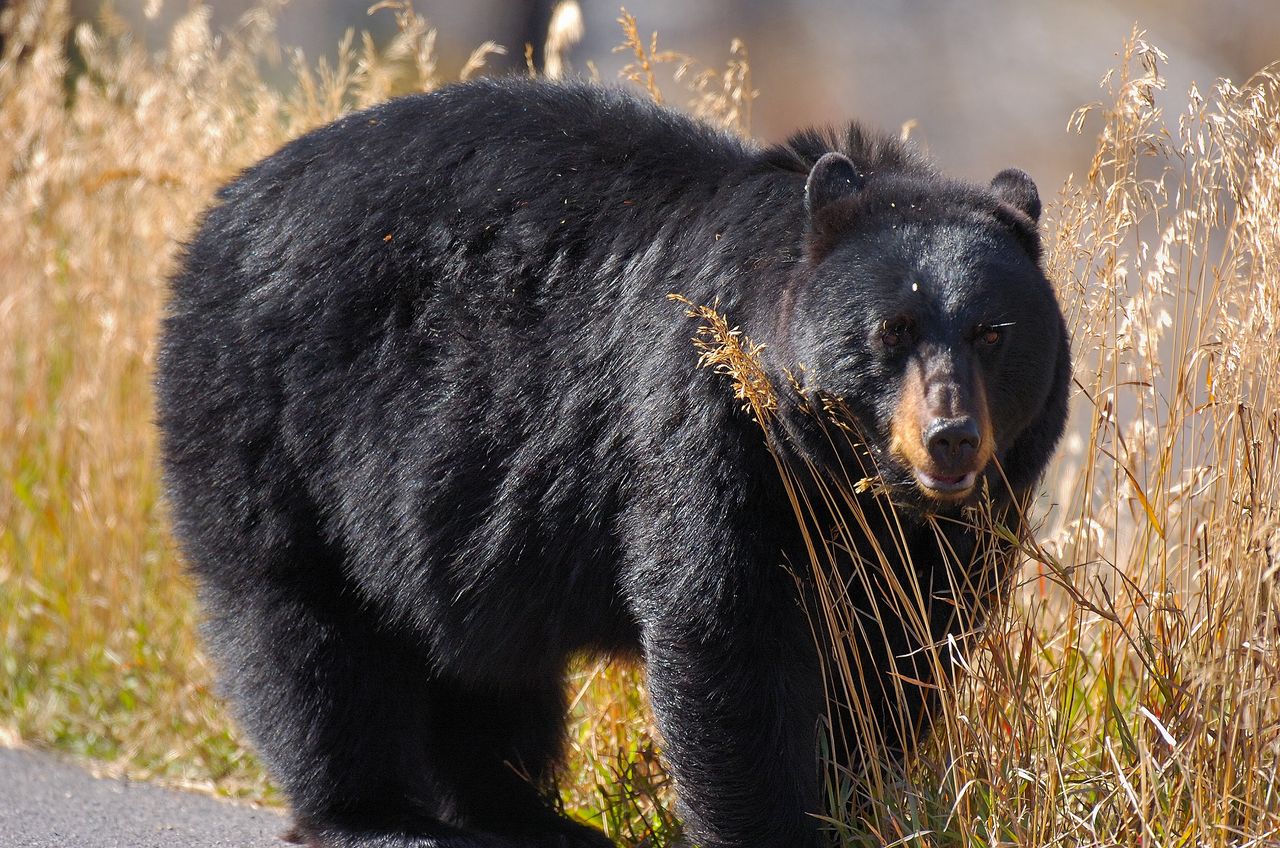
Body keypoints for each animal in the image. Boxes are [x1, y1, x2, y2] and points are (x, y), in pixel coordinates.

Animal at [152, 76, 1070, 845]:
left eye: (993, 333)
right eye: (892, 331)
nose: (951, 437)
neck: (843, 476)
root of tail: (221, 211)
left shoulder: (949, 526)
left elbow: (899, 649)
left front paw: (857, 800)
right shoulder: (709, 425)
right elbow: (725, 625)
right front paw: (772, 823)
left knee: (481, 661)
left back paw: (524, 813)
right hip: (278, 419)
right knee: (306, 627)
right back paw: (374, 813)